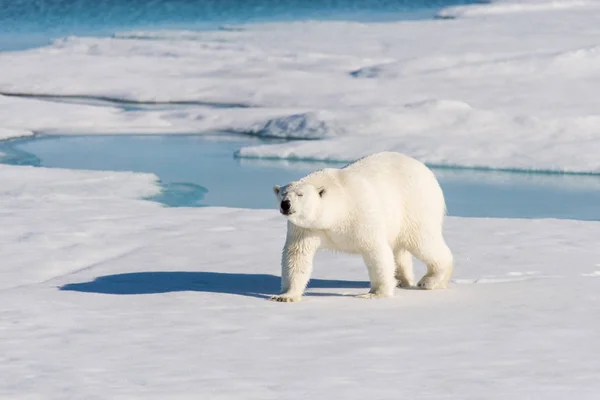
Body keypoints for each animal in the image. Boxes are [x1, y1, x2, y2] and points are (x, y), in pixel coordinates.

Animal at [270, 152, 452, 302]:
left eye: (300, 194)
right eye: (283, 194)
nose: (285, 204)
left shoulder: (362, 214)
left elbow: (376, 251)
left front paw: (375, 293)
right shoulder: (306, 228)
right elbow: (297, 255)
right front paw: (285, 296)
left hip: (415, 205)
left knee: (422, 241)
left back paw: (430, 280)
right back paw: (402, 280)